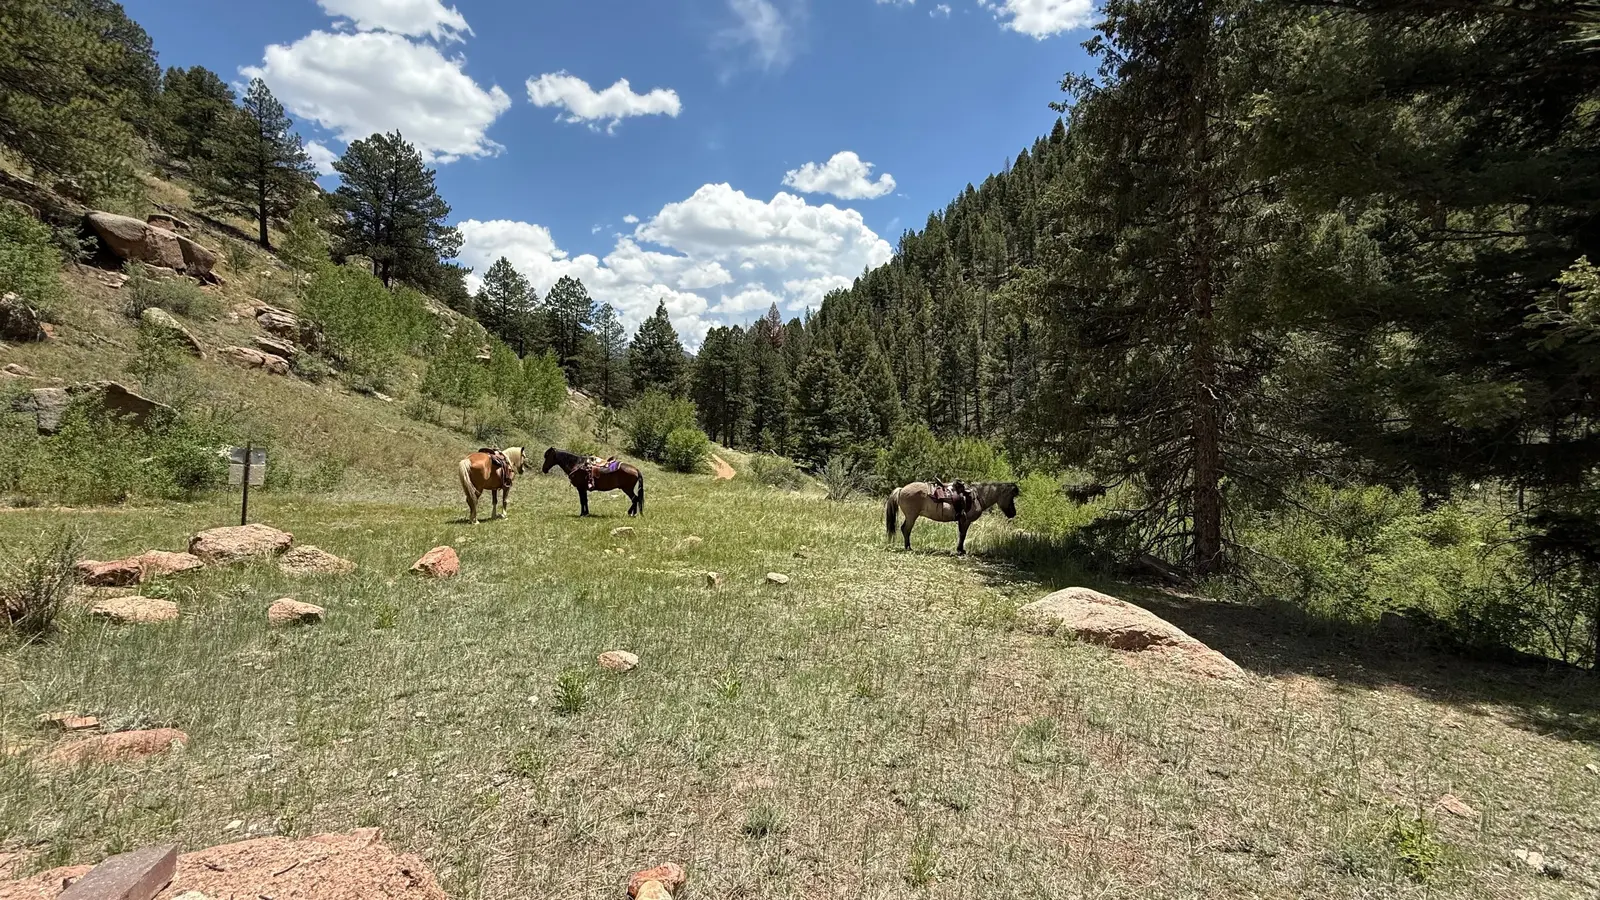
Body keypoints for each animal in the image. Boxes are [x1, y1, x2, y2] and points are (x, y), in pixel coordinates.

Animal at [885, 481, 1020, 555]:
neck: (977, 496)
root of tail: (902, 489)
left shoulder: (961, 520)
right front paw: (961, 550)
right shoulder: (966, 521)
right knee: (906, 529)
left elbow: (961, 535)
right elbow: (963, 535)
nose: (1013, 513)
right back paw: (908, 548)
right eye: (1011, 497)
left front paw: (960, 549)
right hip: (912, 516)